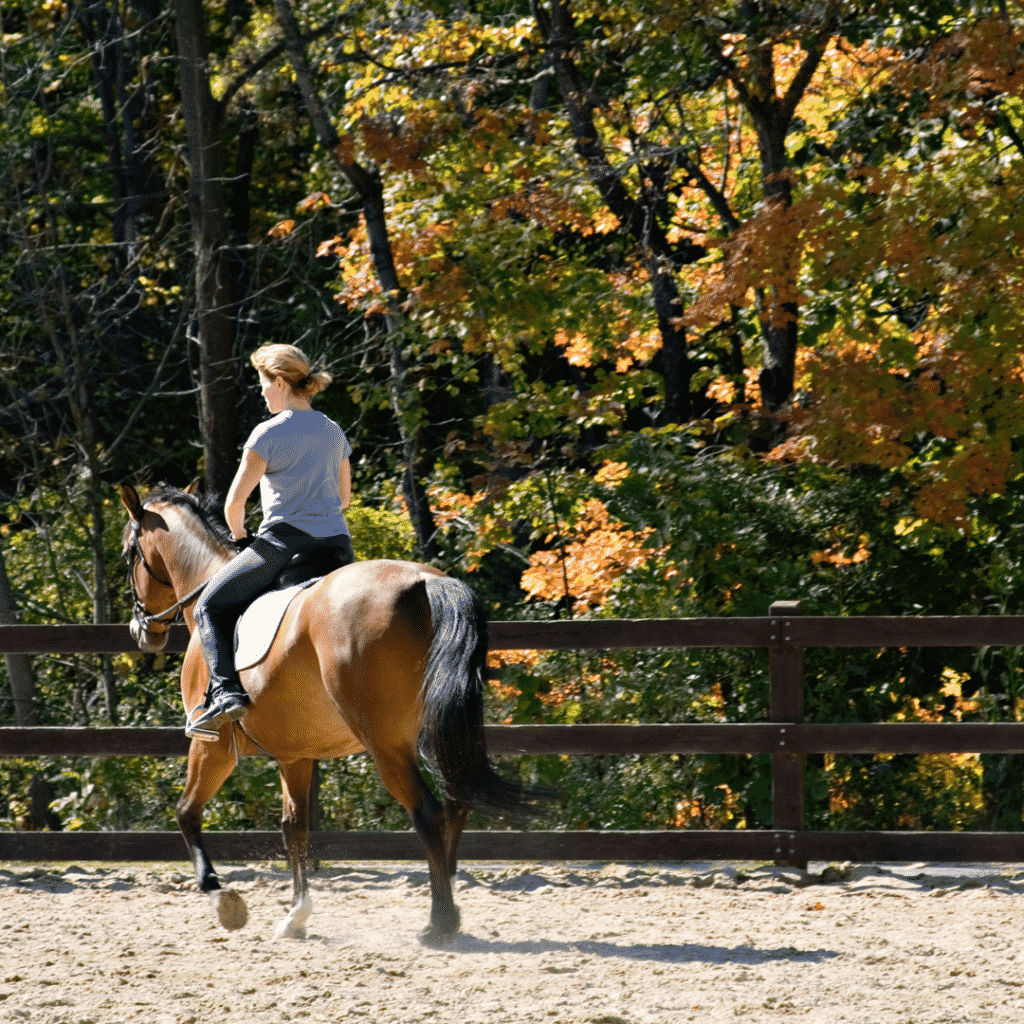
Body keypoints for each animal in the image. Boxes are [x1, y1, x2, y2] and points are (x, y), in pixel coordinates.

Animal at [117, 479, 544, 942]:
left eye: (128, 553)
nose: (142, 631)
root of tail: (427, 582)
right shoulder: (295, 755)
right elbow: (295, 828)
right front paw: (296, 915)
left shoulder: (212, 745)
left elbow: (186, 812)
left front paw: (222, 898)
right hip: (434, 730)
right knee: (455, 803)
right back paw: (449, 903)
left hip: (385, 744)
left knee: (428, 812)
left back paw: (438, 922)